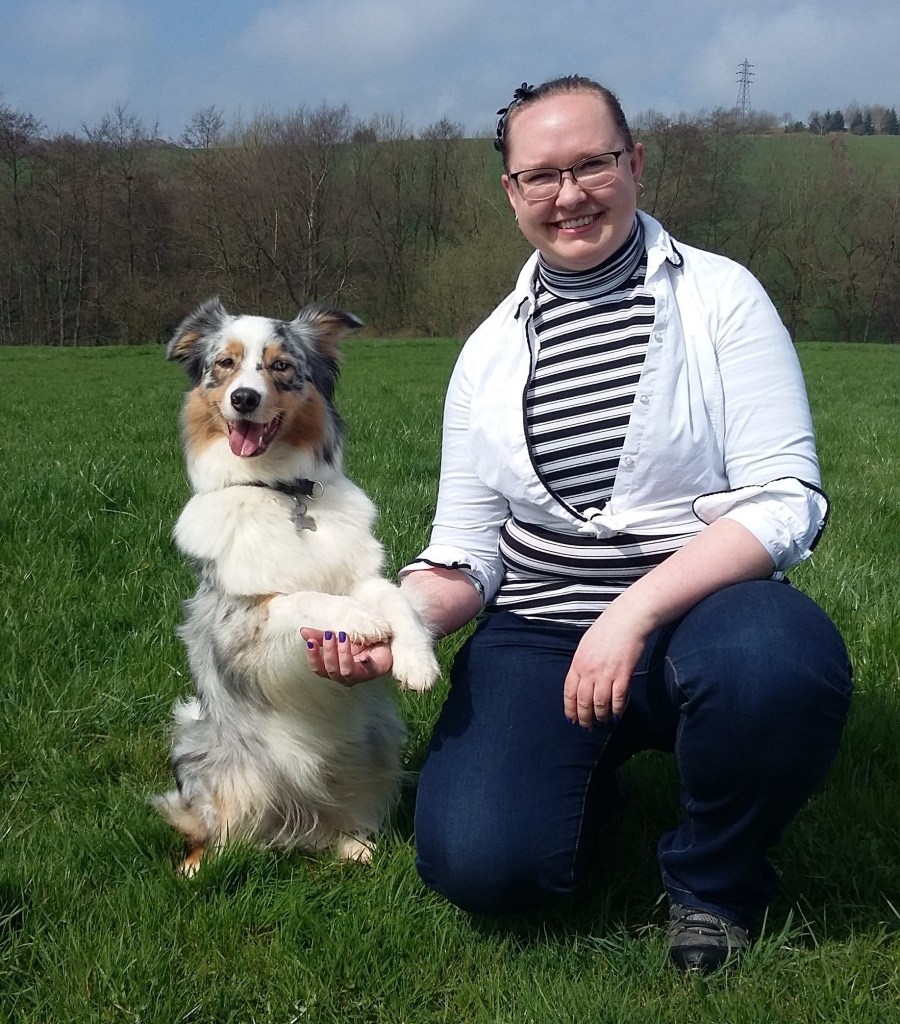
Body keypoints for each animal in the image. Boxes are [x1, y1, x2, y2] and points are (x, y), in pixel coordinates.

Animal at [152, 298, 439, 874]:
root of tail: (289, 826)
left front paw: (417, 662)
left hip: (373, 748)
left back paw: (351, 844)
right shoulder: (241, 619)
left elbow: (394, 598)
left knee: (330, 816)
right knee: (213, 826)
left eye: (281, 366)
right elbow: (301, 598)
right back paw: (198, 866)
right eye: (224, 364)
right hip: (209, 749)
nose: (244, 398)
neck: (283, 491)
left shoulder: (359, 574)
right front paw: (361, 622)